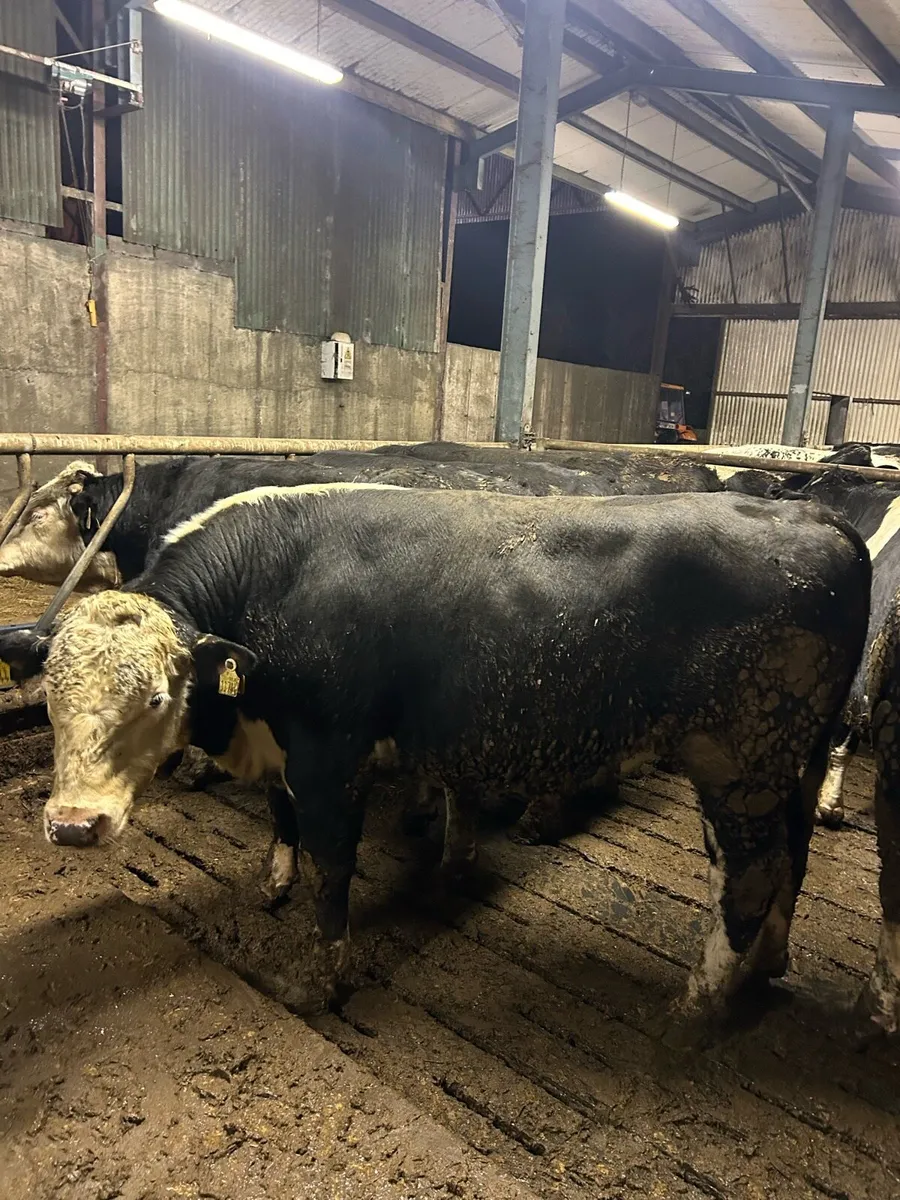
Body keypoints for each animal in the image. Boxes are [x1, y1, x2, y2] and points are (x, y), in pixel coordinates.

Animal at [7, 483, 869, 1030]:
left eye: (157, 698)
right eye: (50, 698)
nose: (75, 824)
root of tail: (819, 517)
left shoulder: (331, 753)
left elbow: (333, 872)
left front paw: (317, 981)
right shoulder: (284, 742)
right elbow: (282, 820)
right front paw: (273, 880)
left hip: (741, 762)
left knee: (748, 875)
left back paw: (694, 1009)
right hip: (790, 761)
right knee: (793, 858)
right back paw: (768, 965)